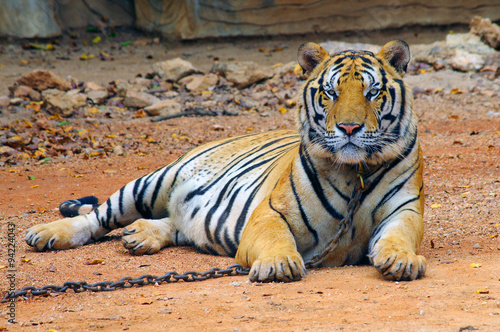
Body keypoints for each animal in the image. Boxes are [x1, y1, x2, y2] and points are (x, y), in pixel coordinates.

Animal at [26, 40, 426, 282]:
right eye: (330, 92)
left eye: (372, 92)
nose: (349, 127)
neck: (354, 170)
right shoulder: (270, 213)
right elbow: (276, 238)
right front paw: (278, 264)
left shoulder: (404, 210)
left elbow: (399, 236)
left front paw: (402, 260)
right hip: (152, 182)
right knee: (96, 216)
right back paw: (47, 234)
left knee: (176, 223)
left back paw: (141, 236)